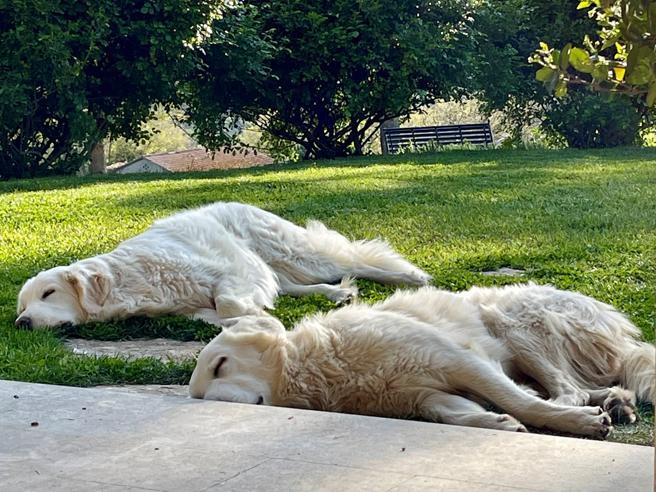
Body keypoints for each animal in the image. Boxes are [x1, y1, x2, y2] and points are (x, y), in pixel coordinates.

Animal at [15, 202, 430, 328]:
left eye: (49, 293)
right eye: (22, 305)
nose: (21, 323)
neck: (129, 280)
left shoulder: (233, 273)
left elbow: (228, 303)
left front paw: (253, 316)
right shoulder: (193, 306)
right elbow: (214, 317)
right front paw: (251, 320)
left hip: (297, 255)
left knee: (360, 258)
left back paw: (411, 277)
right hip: (277, 269)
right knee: (295, 286)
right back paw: (337, 294)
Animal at [191, 282, 656, 440]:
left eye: (221, 365)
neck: (315, 363)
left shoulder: (459, 360)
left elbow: (520, 403)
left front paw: (575, 424)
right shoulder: (422, 396)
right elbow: (451, 413)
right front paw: (495, 422)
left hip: (515, 326)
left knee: (568, 390)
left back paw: (586, 409)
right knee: (585, 387)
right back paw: (617, 402)